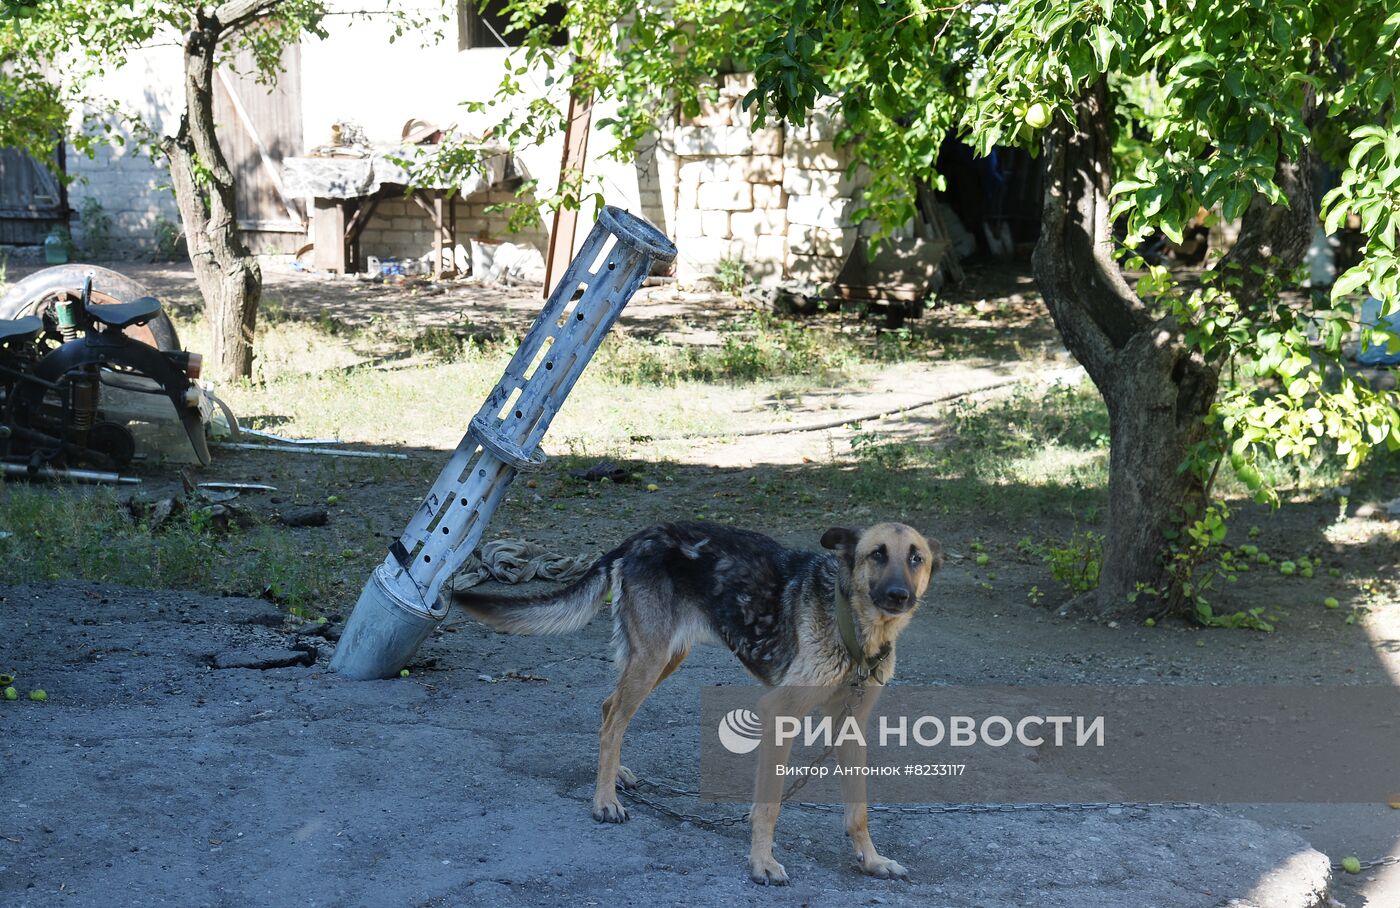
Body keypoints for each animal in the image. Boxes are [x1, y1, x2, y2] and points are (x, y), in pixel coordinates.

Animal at [453, 520, 946, 884]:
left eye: (915, 558)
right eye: (877, 554)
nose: (899, 596)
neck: (856, 627)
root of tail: (639, 537)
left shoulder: (850, 724)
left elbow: (858, 811)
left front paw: (871, 860)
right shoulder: (780, 714)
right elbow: (769, 805)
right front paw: (761, 863)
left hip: (666, 657)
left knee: (609, 708)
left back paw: (615, 777)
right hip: (653, 658)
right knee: (613, 720)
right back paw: (603, 800)